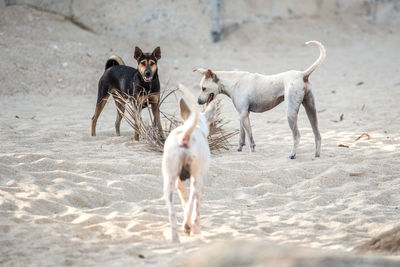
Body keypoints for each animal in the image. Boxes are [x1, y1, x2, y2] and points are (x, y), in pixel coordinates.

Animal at [162, 85, 216, 244]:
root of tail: (185, 136)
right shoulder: (201, 181)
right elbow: (195, 207)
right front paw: (195, 226)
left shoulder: (179, 182)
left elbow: (184, 201)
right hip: (196, 179)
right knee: (193, 201)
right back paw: (188, 227)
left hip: (169, 182)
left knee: (172, 212)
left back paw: (175, 239)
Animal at [195, 41, 326, 160]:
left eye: (203, 88)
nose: (198, 101)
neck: (233, 82)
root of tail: (302, 74)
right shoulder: (242, 114)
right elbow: (242, 135)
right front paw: (239, 149)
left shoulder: (244, 114)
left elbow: (250, 137)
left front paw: (252, 151)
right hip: (311, 110)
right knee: (317, 135)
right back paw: (317, 155)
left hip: (291, 113)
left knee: (297, 136)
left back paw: (292, 155)